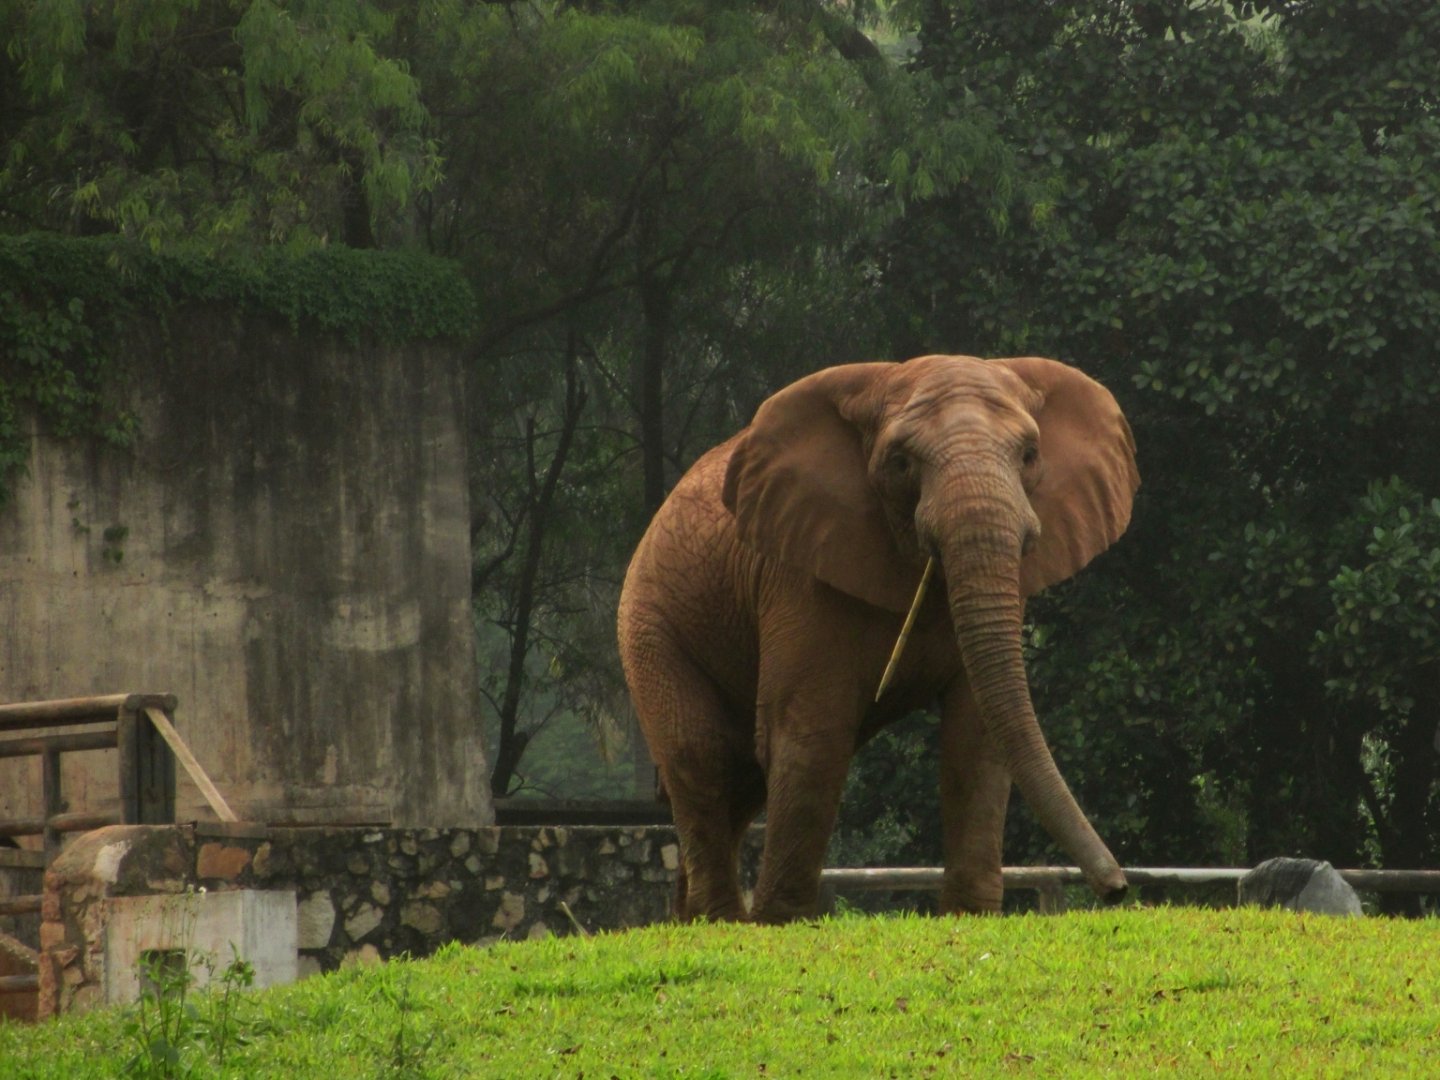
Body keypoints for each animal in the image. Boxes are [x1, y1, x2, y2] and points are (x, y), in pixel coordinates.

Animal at [617, 354, 1139, 923]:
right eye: (900, 462)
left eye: (1029, 455)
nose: (1117, 889)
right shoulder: (799, 574)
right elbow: (812, 732)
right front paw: (784, 922)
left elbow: (976, 739)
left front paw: (970, 916)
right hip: (651, 626)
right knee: (703, 758)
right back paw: (722, 923)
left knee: (741, 782)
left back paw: (691, 920)